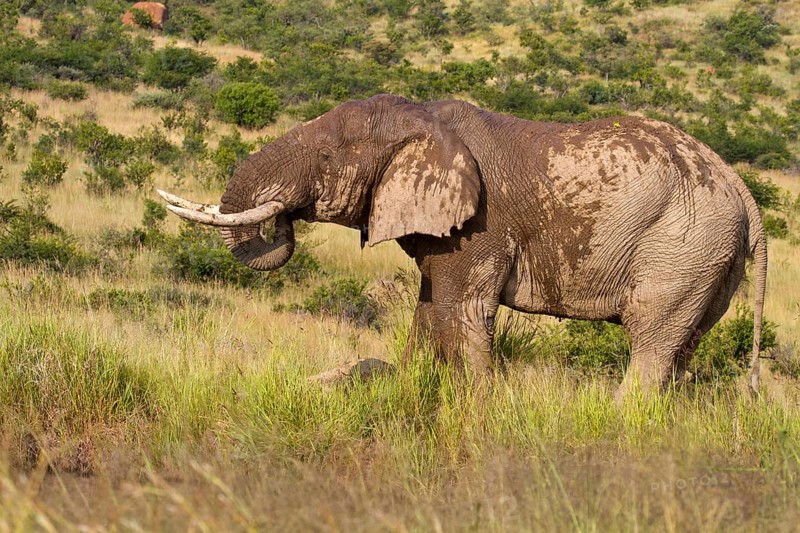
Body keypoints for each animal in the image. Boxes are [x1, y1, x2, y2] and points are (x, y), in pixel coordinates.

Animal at [159, 94, 767, 397]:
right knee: (682, 346)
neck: (425, 119)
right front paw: (405, 387)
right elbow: (430, 309)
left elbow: (463, 310)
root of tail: (742, 189)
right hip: (709, 259)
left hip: (683, 246)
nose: (283, 218)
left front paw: (480, 409)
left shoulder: (479, 226)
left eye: (327, 159)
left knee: (652, 340)